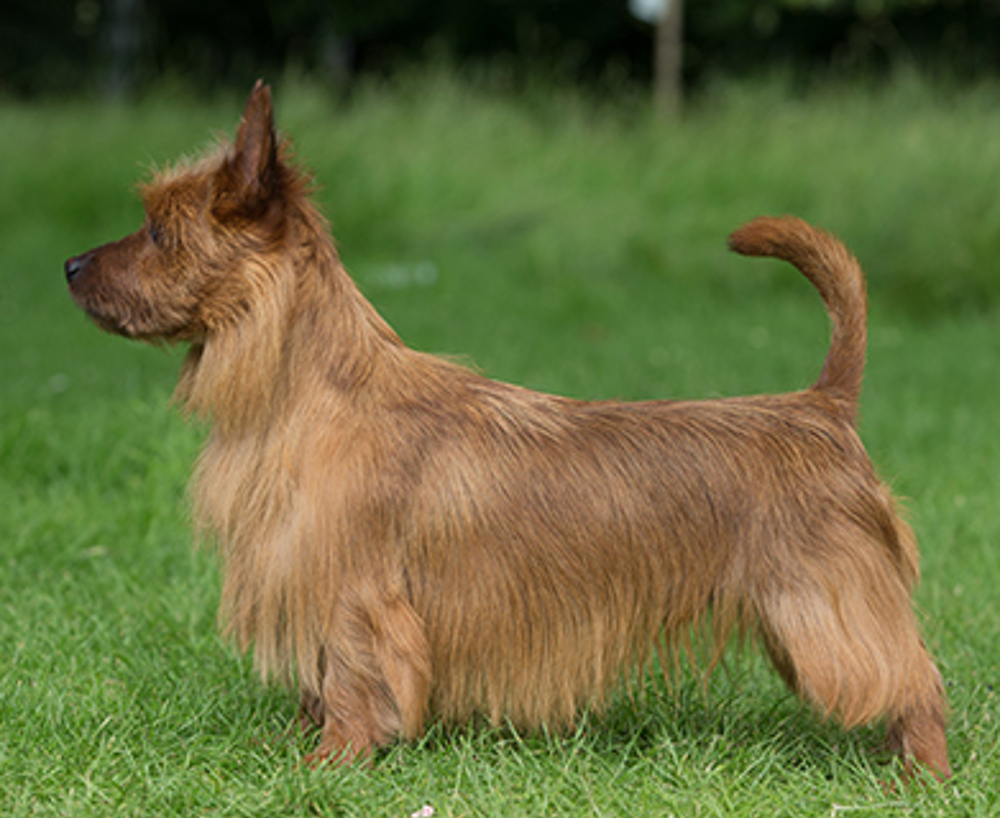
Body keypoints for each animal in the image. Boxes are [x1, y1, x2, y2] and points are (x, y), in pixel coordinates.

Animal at [64, 81, 952, 776]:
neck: (309, 389)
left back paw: (923, 772)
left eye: (158, 233)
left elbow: (350, 678)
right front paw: (289, 746)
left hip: (827, 613)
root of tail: (824, 403)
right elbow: (320, 685)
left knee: (916, 676)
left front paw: (332, 762)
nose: (70, 267)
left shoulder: (353, 592)